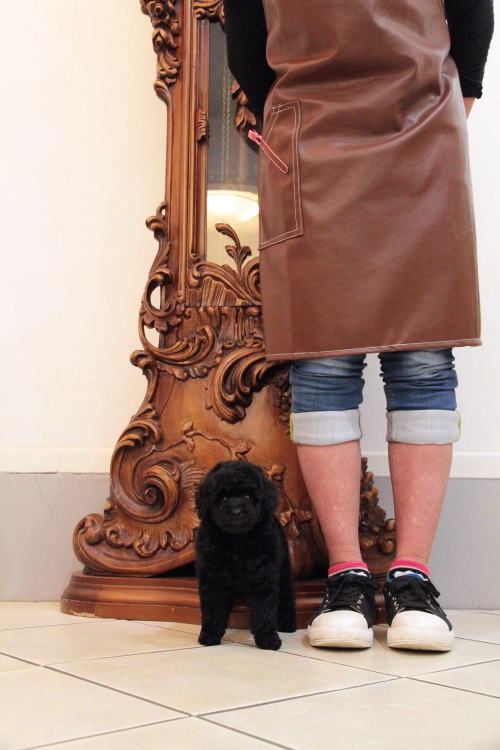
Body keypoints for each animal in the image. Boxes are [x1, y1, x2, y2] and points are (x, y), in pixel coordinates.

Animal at [194, 459, 296, 649]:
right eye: (223, 498)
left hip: (284, 568)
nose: (236, 511)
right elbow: (212, 608)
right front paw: (210, 635)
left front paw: (267, 638)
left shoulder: (264, 577)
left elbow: (264, 610)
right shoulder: (212, 578)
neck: (238, 539)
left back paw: (287, 624)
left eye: (248, 496)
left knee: (287, 595)